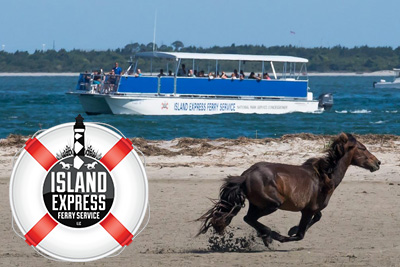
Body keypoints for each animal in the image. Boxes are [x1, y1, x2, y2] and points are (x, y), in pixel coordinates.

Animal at [197, 134, 382, 247]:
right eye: (363, 148)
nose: (378, 163)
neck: (325, 177)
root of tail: (245, 176)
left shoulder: (312, 208)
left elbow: (318, 218)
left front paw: (291, 229)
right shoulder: (307, 210)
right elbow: (300, 234)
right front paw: (287, 234)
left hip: (257, 204)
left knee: (249, 218)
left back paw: (265, 235)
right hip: (271, 204)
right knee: (248, 218)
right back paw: (269, 235)